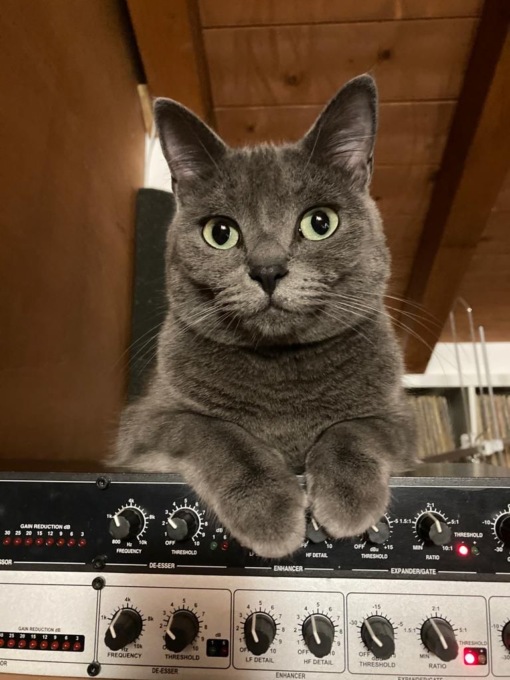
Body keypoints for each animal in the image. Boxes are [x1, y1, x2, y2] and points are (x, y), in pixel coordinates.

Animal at [112, 74, 416, 559]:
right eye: (220, 232)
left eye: (319, 223)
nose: (268, 269)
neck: (281, 377)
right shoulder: (147, 426)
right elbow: (216, 431)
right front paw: (269, 508)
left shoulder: (399, 420)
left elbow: (353, 428)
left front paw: (347, 499)